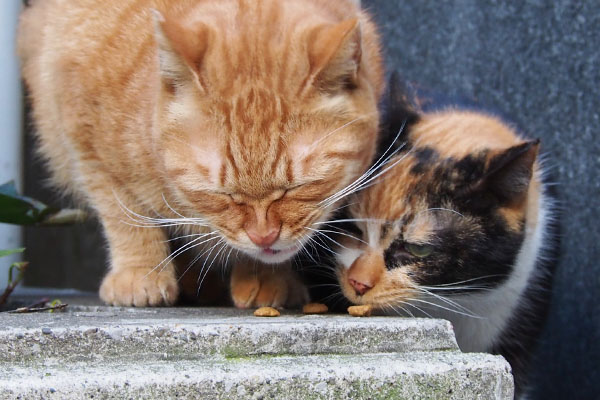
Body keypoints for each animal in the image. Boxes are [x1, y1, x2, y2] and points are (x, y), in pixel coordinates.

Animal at [19, 0, 384, 306]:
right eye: (224, 194)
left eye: (297, 188)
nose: (264, 237)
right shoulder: (85, 143)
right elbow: (124, 216)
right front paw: (140, 274)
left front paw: (263, 277)